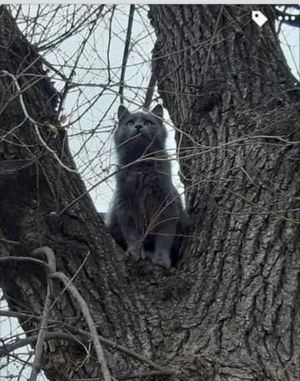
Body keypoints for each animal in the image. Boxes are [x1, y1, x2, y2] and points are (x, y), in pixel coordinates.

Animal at [104, 102, 186, 266]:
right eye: (130, 123)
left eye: (148, 123)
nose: (138, 126)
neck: (141, 167)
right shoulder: (125, 207)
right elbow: (133, 236)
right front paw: (135, 253)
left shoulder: (166, 208)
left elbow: (164, 237)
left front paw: (161, 259)